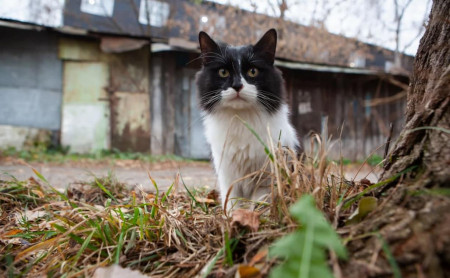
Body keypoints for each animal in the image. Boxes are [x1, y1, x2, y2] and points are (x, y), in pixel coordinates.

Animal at [195, 29, 298, 210]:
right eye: (223, 72)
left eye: (252, 71)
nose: (237, 86)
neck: (241, 119)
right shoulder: (227, 174)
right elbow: (231, 202)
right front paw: (232, 217)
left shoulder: (266, 176)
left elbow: (259, 202)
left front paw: (255, 216)